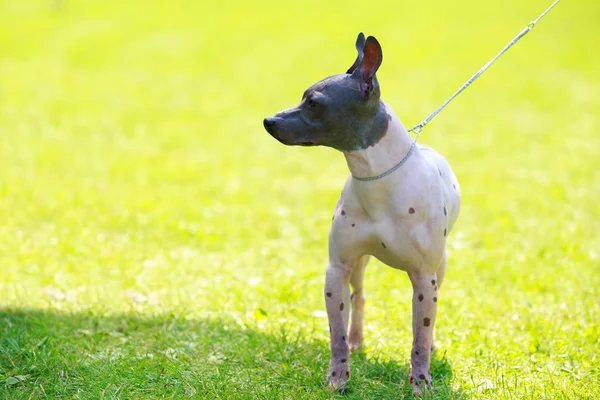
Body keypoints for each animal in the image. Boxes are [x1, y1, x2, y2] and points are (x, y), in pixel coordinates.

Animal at [262, 32, 460, 394]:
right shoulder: (336, 270)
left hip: (439, 270)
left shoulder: (424, 279)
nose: (268, 121)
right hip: (358, 265)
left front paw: (421, 381)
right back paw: (357, 339)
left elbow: (420, 337)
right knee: (359, 297)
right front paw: (337, 376)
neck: (378, 181)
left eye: (314, 103)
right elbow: (336, 335)